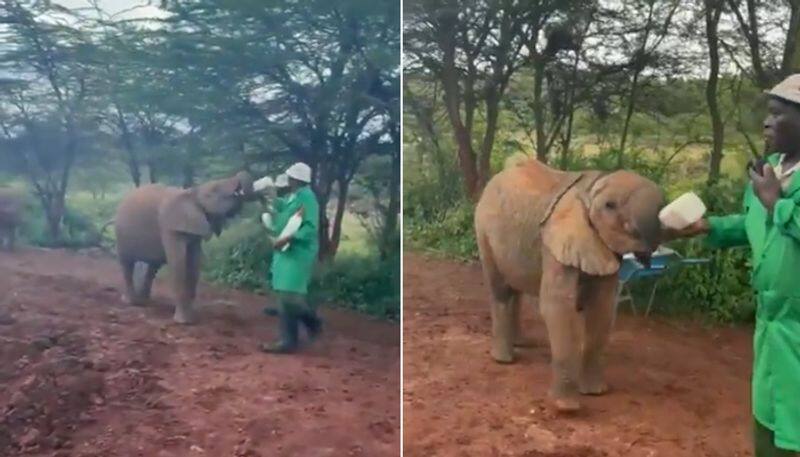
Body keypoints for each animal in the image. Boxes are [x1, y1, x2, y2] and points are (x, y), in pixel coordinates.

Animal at [112, 169, 253, 322]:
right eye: (214, 189)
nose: (241, 176)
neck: (192, 193)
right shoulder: (169, 226)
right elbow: (178, 263)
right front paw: (183, 322)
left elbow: (194, 263)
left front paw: (192, 319)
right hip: (121, 234)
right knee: (127, 263)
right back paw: (132, 302)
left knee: (153, 266)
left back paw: (144, 301)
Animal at [476, 155, 664, 412]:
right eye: (610, 206)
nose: (647, 257)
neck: (590, 189)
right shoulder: (556, 240)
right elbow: (558, 306)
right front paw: (567, 407)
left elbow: (602, 308)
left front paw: (596, 393)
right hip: (484, 232)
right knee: (501, 291)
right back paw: (504, 360)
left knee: (516, 288)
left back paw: (522, 344)